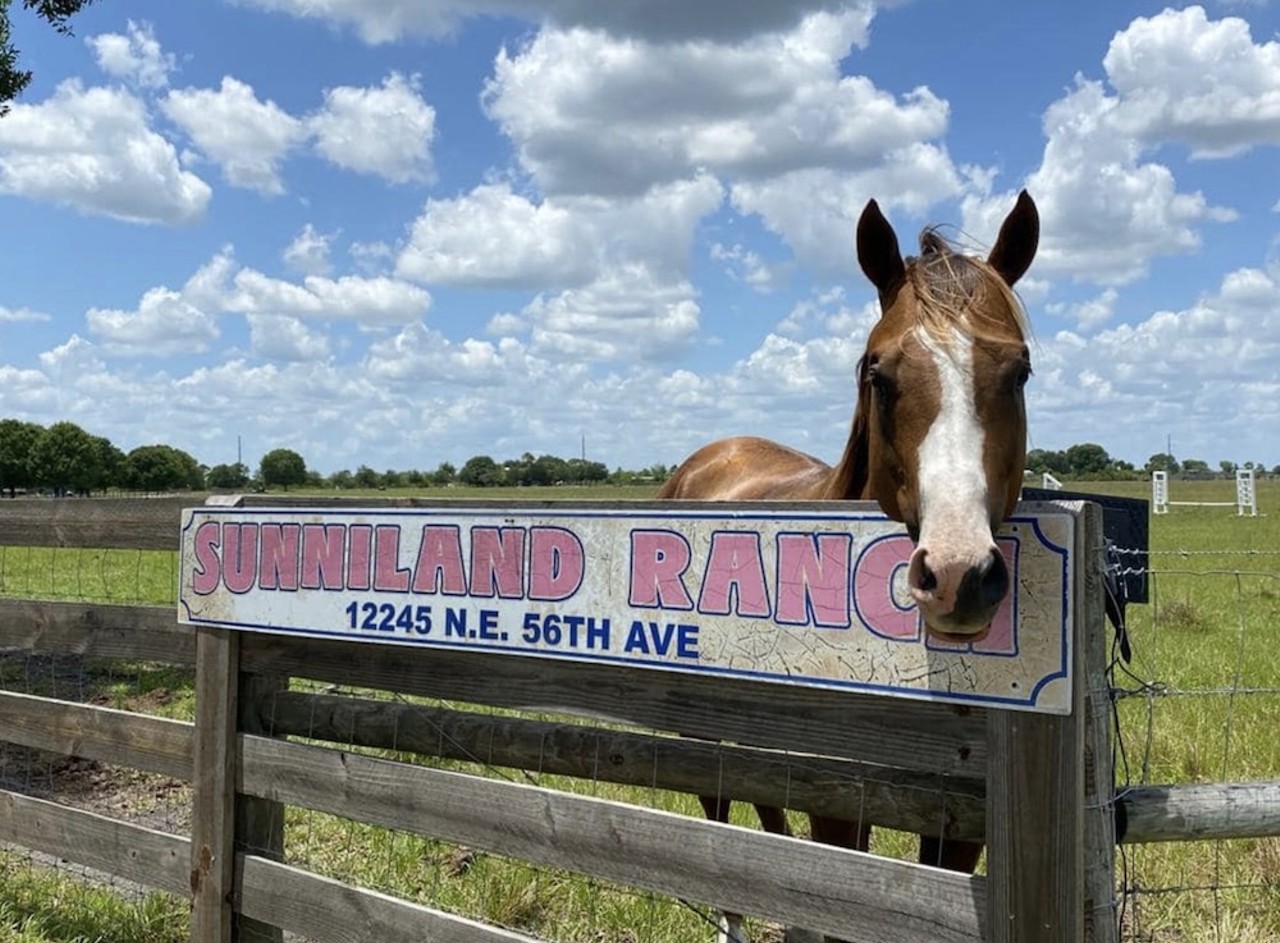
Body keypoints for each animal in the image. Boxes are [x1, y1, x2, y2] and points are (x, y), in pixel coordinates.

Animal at [660, 191, 1039, 941]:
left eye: (1019, 370)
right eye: (878, 373)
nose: (958, 574)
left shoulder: (963, 822)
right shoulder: (838, 804)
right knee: (720, 822)